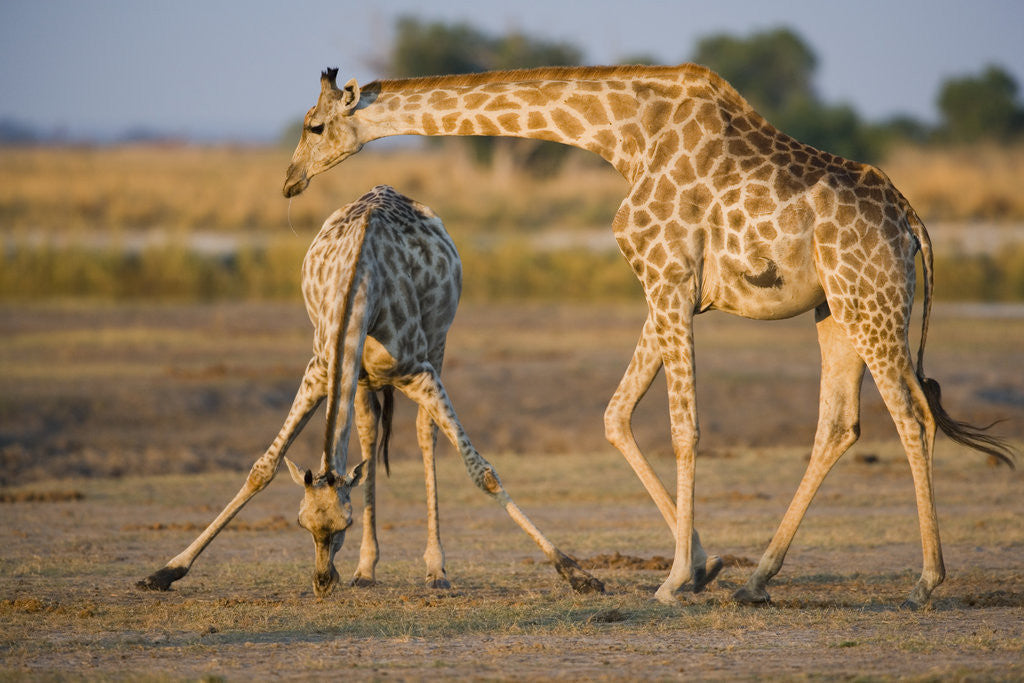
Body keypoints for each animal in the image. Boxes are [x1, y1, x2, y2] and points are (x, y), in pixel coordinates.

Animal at [139, 185, 604, 596]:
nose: (323, 583)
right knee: (367, 434)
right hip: (362, 382)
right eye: (302, 523)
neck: (361, 286)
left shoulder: (419, 371)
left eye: (343, 525)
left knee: (424, 435)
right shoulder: (320, 371)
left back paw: (436, 570)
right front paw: (164, 571)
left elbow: (481, 470)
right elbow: (262, 469)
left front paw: (578, 573)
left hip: (438, 344)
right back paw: (365, 570)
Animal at [282, 66, 1015, 608]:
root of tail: (913, 221)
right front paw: (704, 565)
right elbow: (616, 415)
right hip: (835, 309)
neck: (624, 135)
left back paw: (926, 582)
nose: (290, 180)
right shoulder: (672, 287)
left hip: (872, 299)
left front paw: (672, 580)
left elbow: (684, 427)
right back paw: (757, 580)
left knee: (911, 415)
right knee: (840, 424)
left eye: (314, 125)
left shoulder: (665, 275)